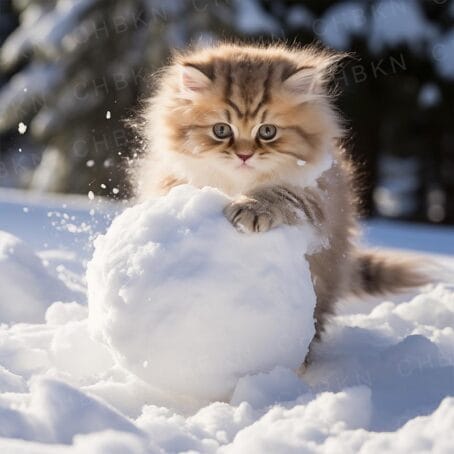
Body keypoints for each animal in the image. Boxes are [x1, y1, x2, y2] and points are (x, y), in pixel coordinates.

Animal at [132, 42, 430, 346]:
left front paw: (250, 209)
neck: (239, 183)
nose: (244, 155)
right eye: (221, 130)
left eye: (267, 131)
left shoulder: (315, 194)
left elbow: (277, 193)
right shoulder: (171, 177)